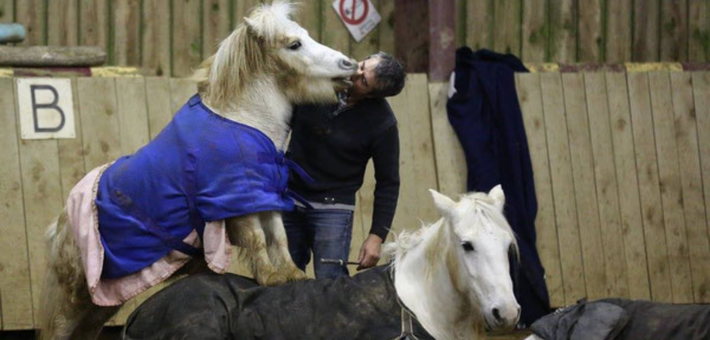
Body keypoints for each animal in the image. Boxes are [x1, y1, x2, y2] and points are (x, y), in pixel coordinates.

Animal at [38, 2, 358, 340]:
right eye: (294, 44)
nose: (349, 64)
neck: (243, 123)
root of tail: (59, 224)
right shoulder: (240, 204)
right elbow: (258, 239)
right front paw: (270, 276)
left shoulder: (265, 198)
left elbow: (278, 237)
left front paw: (290, 274)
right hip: (71, 303)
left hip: (101, 303)